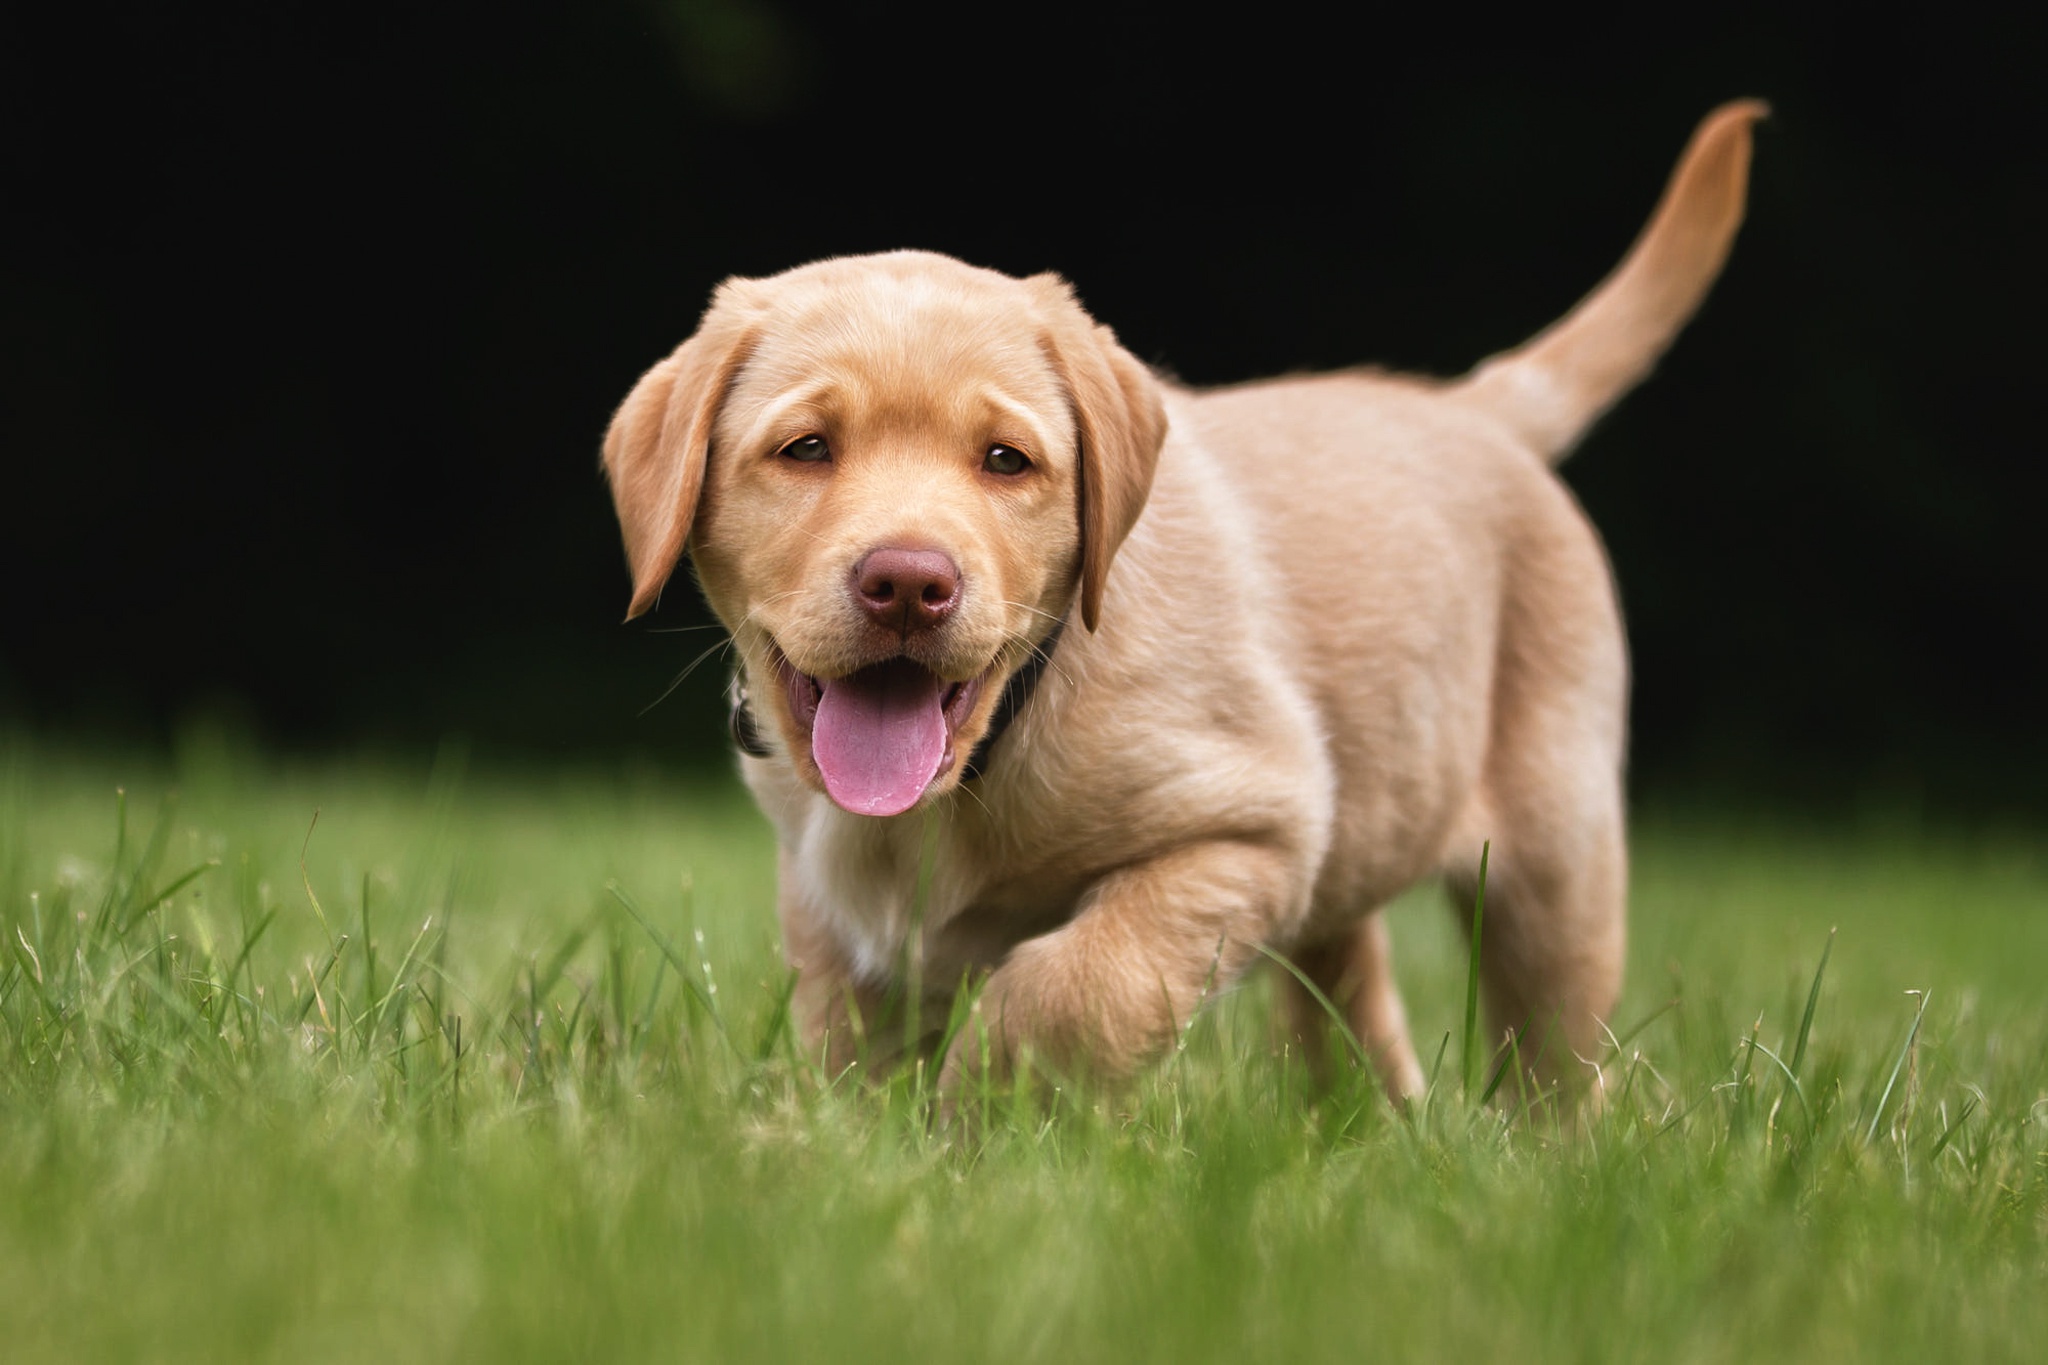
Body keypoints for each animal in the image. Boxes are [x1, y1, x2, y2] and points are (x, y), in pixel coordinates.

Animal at [598, 101, 1761, 1105]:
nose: (909, 584)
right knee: (1351, 1006)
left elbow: (1071, 987)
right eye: (805, 449)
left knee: (1554, 1050)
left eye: (1004, 460)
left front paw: (980, 1109)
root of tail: (1476, 408)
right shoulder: (827, 907)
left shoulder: (1248, 828)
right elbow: (846, 1045)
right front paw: (852, 1139)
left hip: (1554, 851)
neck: (996, 742)